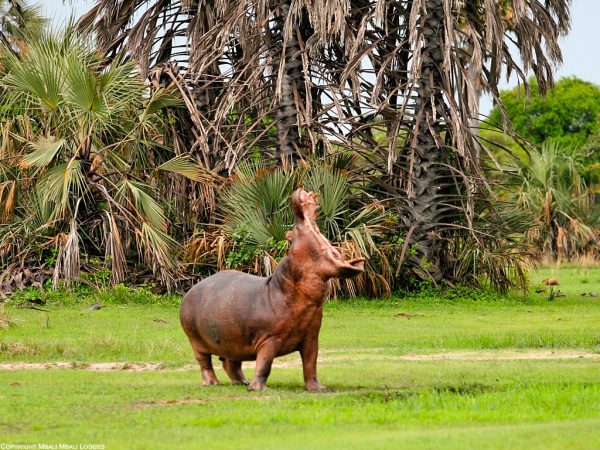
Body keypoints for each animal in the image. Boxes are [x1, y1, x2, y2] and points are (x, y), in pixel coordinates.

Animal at [180, 190, 364, 390]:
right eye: (289, 235)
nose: (301, 193)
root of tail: (189, 291)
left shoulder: (311, 338)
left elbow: (310, 364)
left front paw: (318, 389)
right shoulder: (269, 339)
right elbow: (265, 364)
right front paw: (258, 389)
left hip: (231, 339)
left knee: (231, 362)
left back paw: (242, 382)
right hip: (196, 341)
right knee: (204, 362)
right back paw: (212, 383)